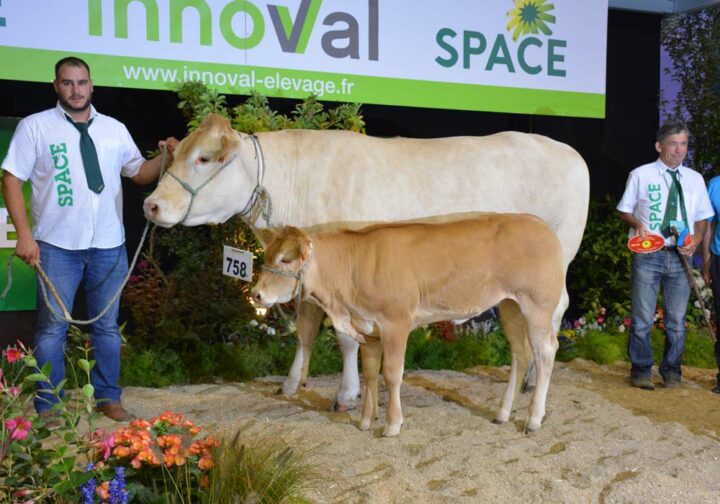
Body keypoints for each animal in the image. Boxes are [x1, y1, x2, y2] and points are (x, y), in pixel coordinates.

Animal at [143, 114, 588, 410]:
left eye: (204, 158)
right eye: (178, 152)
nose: (151, 205)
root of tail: (566, 150)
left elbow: (343, 338)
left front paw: (347, 394)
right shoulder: (308, 274)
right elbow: (305, 330)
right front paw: (291, 384)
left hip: (557, 261)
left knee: (553, 317)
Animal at [253, 215, 568, 436]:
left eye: (286, 259)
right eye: (267, 255)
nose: (255, 294)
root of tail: (538, 223)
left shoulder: (396, 323)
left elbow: (392, 374)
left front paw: (392, 425)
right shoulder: (369, 328)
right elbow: (370, 374)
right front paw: (366, 422)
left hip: (538, 305)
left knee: (545, 352)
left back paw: (534, 419)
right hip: (509, 306)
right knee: (520, 353)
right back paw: (503, 413)